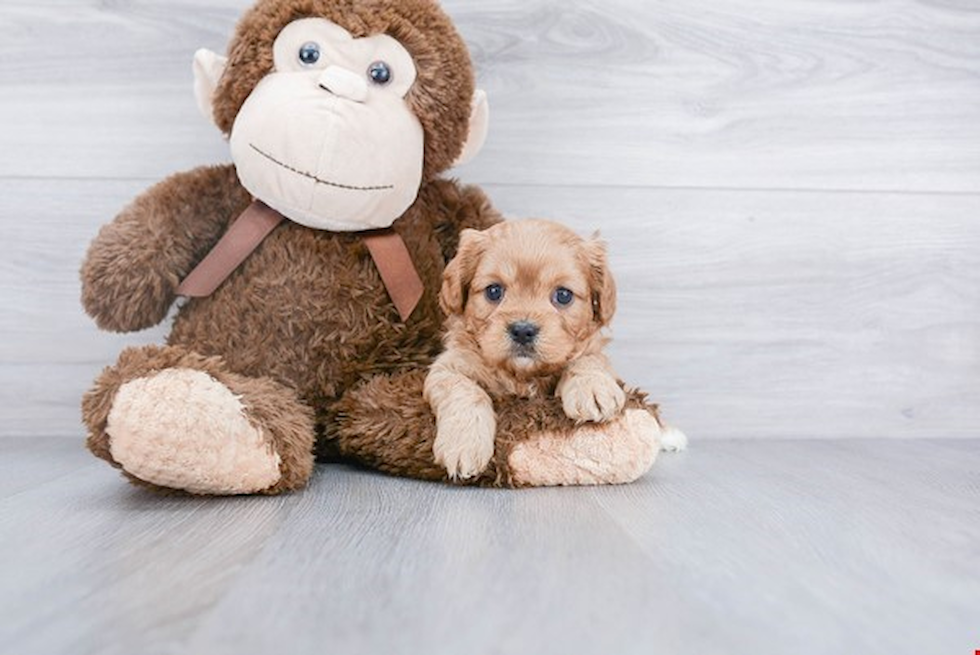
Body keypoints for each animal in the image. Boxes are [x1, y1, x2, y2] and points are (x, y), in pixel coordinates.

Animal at [424, 218, 668, 480]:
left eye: (563, 295)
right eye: (494, 291)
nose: (522, 330)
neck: (523, 375)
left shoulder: (591, 350)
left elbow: (589, 359)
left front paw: (591, 389)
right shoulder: (448, 367)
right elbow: (465, 390)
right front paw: (464, 445)